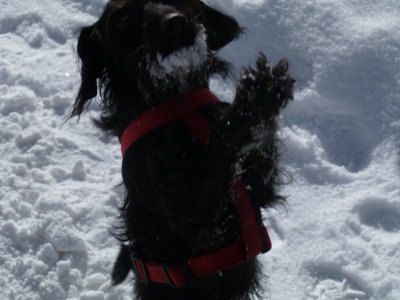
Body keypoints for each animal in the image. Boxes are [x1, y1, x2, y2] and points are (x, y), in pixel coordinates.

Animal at [69, 1, 294, 298]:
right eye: (124, 16)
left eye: (181, 2)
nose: (175, 22)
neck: (177, 101)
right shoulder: (185, 213)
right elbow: (217, 150)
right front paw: (258, 92)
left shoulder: (259, 189)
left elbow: (259, 153)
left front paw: (269, 92)